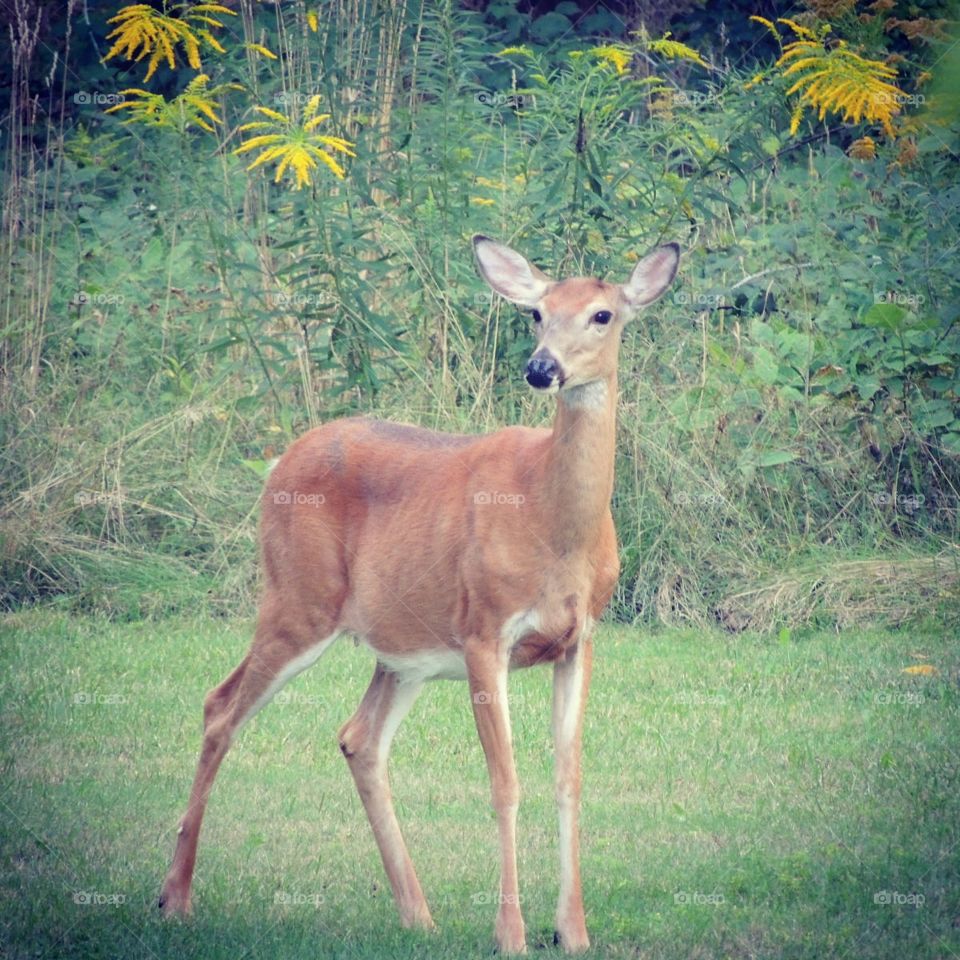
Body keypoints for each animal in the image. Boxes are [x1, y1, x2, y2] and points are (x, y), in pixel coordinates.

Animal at [159, 235, 679, 954]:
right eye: (536, 313)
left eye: (603, 315)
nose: (540, 368)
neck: (554, 527)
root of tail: (280, 460)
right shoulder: (485, 629)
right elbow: (505, 783)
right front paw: (511, 934)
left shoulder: (581, 638)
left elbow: (568, 778)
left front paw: (573, 932)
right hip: (299, 599)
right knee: (220, 708)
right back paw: (175, 898)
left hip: (400, 649)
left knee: (358, 738)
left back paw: (417, 914)